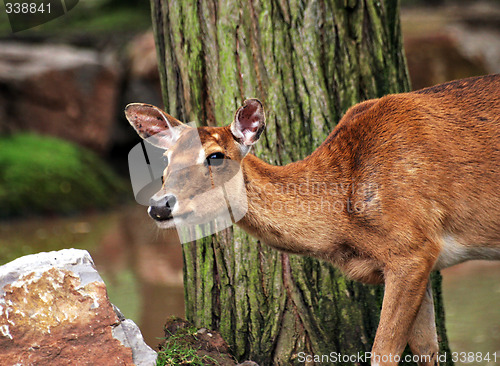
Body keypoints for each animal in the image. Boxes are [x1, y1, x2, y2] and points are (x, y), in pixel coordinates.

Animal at [126, 75, 500, 366]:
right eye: (166, 158)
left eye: (216, 156)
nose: (159, 206)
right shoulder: (420, 256)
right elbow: (426, 348)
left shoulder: (412, 247)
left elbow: (383, 352)